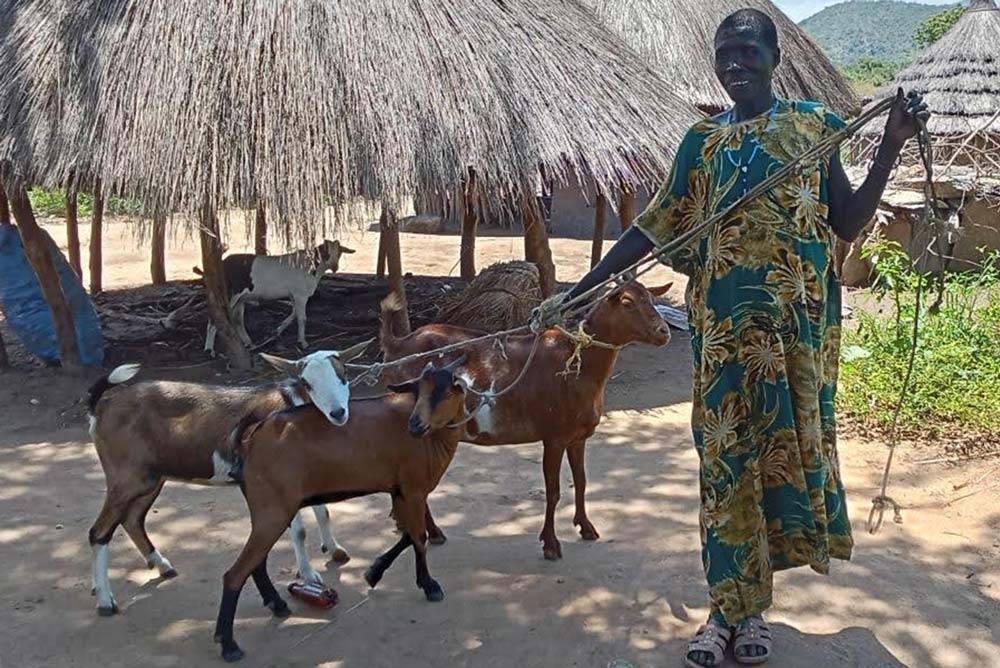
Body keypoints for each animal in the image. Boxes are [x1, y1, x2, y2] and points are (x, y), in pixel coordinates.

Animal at [84, 339, 369, 616]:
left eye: (343, 375)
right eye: (307, 383)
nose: (338, 413)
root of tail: (101, 408)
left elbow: (323, 511)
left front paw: (334, 549)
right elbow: (299, 530)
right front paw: (309, 574)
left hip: (150, 478)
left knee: (132, 519)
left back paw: (161, 565)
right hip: (125, 477)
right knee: (99, 532)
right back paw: (105, 601)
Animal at [200, 239, 355, 353]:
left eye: (339, 253)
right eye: (325, 252)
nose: (335, 267)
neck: (312, 267)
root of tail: (222, 264)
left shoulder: (294, 295)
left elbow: (293, 314)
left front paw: (278, 330)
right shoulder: (300, 295)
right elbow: (302, 318)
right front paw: (303, 342)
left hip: (241, 298)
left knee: (237, 320)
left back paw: (249, 343)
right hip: (230, 292)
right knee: (215, 316)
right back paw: (209, 349)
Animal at [214, 356, 469, 662]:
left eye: (446, 391)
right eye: (420, 390)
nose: (415, 426)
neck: (433, 440)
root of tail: (251, 439)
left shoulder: (401, 491)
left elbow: (409, 534)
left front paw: (373, 573)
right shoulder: (414, 489)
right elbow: (418, 537)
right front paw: (429, 586)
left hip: (269, 512)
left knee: (257, 563)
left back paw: (276, 605)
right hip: (272, 510)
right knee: (235, 573)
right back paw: (229, 644)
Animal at [380, 281, 672, 560]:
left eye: (652, 298)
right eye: (627, 302)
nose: (664, 332)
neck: (576, 361)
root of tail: (398, 346)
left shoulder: (578, 436)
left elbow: (581, 481)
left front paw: (586, 527)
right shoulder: (554, 436)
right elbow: (553, 490)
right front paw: (551, 545)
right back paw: (429, 530)